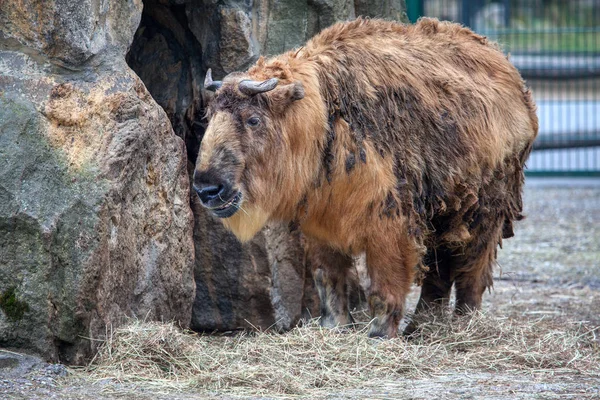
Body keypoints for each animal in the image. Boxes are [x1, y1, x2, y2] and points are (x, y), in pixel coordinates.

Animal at [193, 18, 540, 338]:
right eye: (210, 118)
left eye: (253, 119)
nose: (207, 188)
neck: (321, 116)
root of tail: (514, 78)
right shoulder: (319, 225)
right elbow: (328, 279)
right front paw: (334, 327)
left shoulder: (389, 224)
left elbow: (384, 284)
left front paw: (379, 333)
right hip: (444, 215)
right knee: (438, 273)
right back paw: (421, 326)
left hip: (484, 214)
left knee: (471, 273)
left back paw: (463, 324)